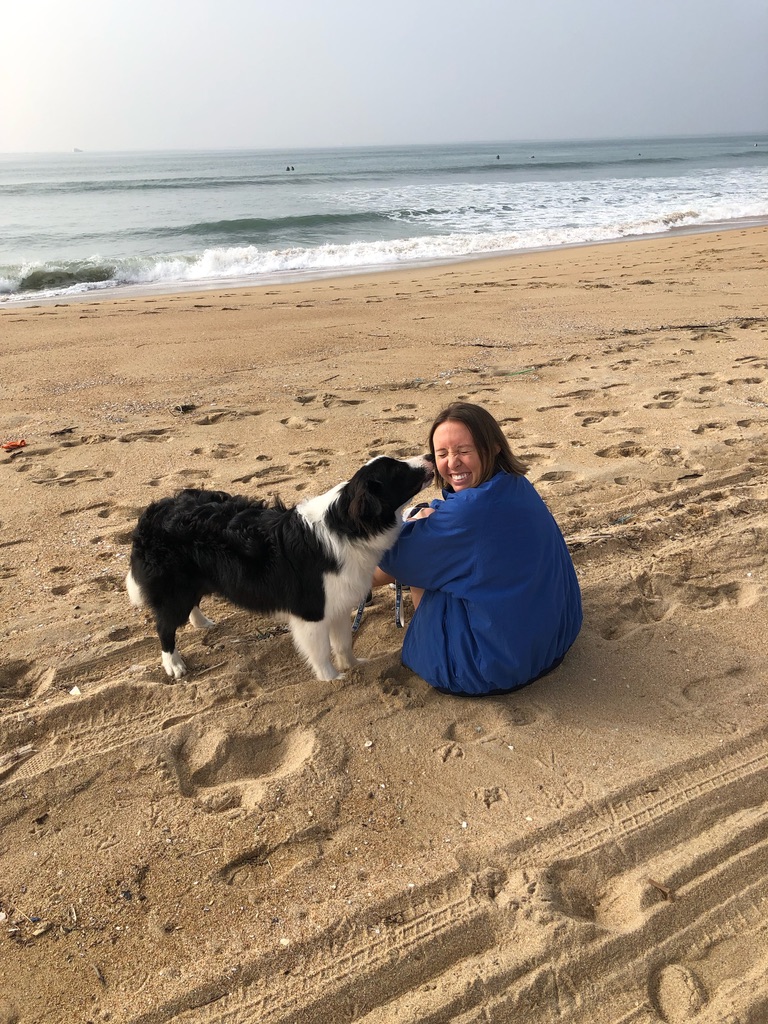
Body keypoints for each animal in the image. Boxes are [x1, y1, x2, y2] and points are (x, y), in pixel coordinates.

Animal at [126, 454, 434, 679]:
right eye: (398, 471)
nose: (430, 455)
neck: (347, 526)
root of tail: (154, 511)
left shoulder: (337, 604)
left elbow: (343, 643)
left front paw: (354, 666)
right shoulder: (312, 612)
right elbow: (321, 651)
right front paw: (333, 679)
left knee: (189, 605)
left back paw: (201, 622)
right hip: (174, 588)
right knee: (165, 625)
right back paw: (174, 664)